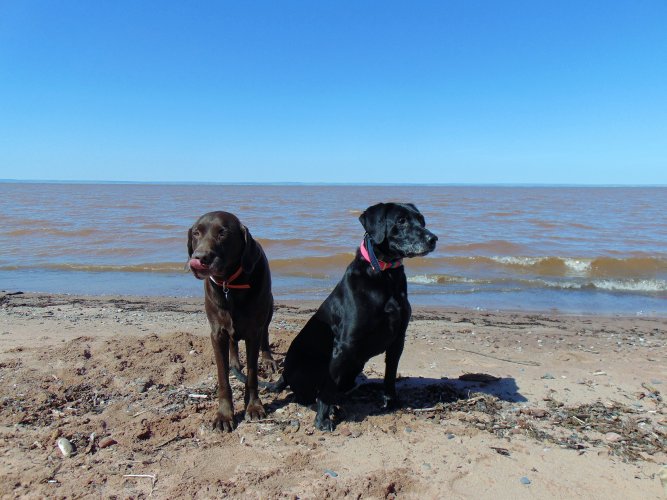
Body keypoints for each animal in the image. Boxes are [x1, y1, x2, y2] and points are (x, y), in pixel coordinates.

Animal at [187, 209, 276, 432]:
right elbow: (223, 378)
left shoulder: (253, 331)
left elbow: (252, 375)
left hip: (269, 306)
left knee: (265, 333)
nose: (199, 258)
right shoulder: (217, 333)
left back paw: (268, 359)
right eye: (196, 233)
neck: (230, 283)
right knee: (233, 342)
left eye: (223, 233)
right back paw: (235, 362)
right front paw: (224, 415)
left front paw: (253, 406)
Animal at [272, 203, 438, 430]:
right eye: (401, 220)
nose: (433, 238)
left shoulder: (398, 339)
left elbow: (390, 375)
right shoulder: (345, 344)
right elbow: (327, 388)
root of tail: (284, 374)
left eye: (421, 220)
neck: (385, 274)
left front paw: (391, 402)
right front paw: (322, 419)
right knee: (306, 394)